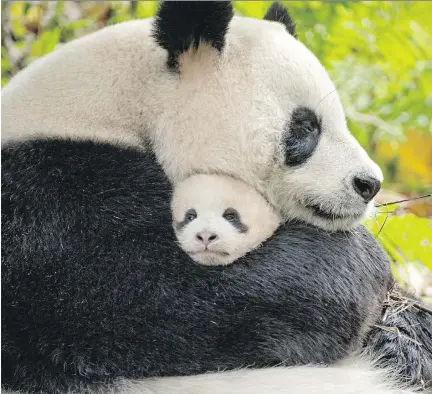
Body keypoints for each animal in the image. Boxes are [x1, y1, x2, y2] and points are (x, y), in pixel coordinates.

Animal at [1, 0, 430, 394]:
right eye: (306, 126)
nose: (369, 184)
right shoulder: (52, 208)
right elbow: (172, 299)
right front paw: (361, 262)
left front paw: (402, 334)